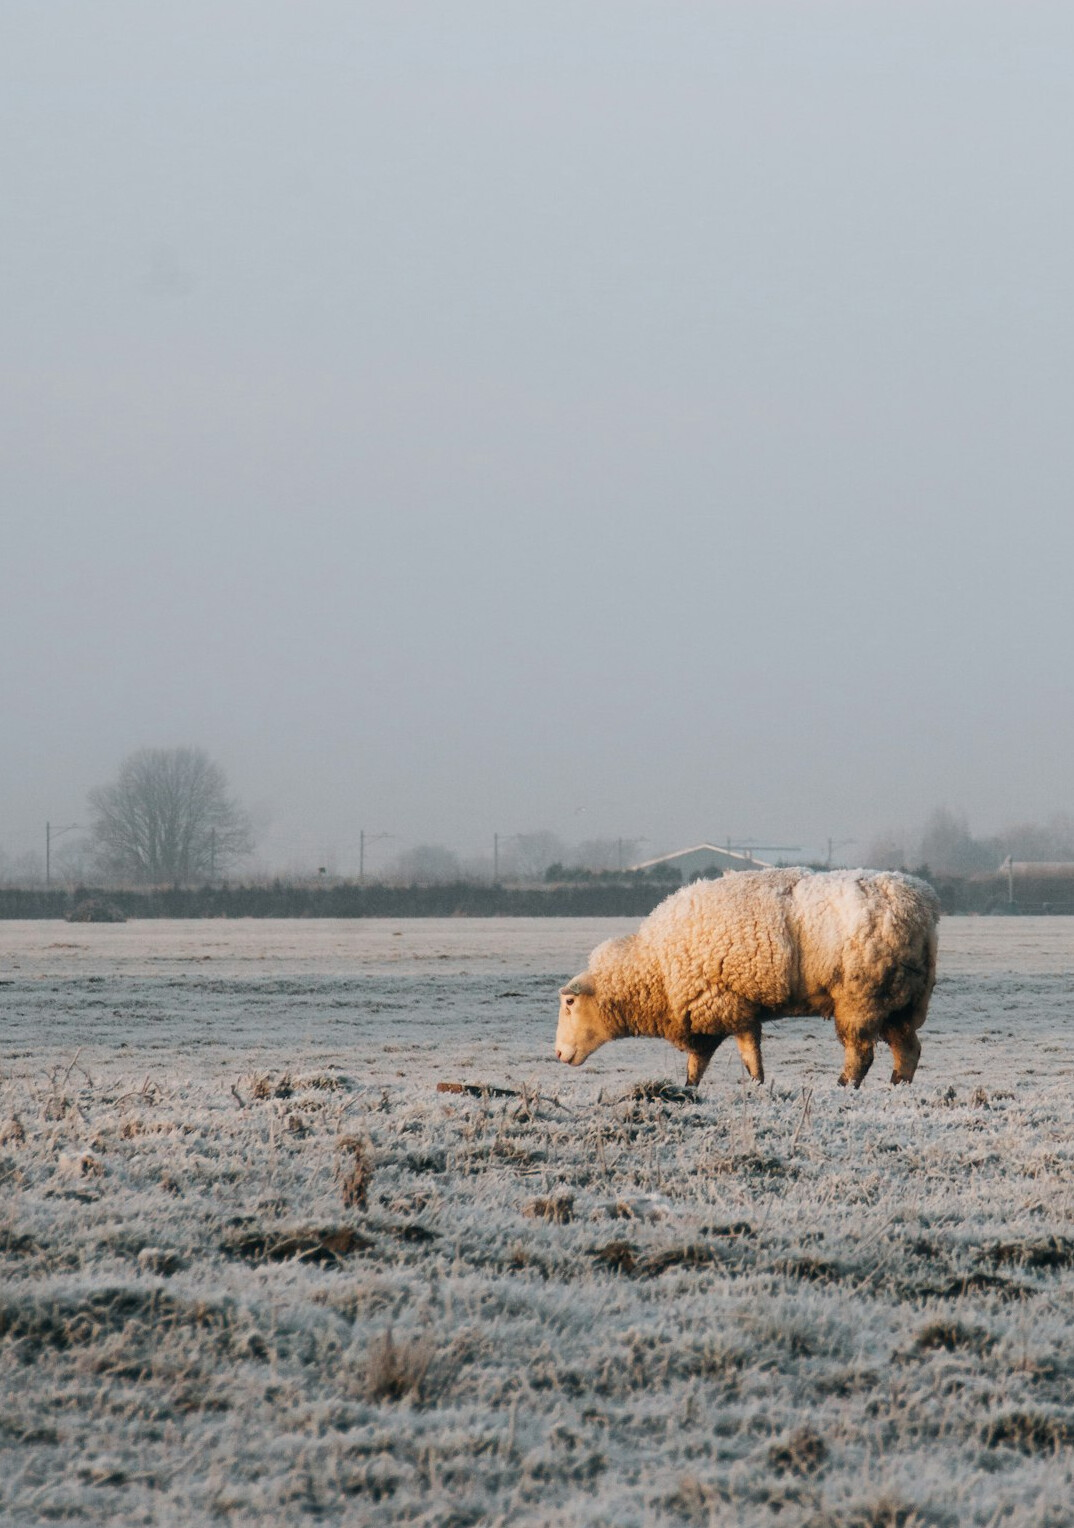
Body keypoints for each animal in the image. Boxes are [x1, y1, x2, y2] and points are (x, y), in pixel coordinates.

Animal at [555, 868, 940, 1089]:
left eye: (570, 1002)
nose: (558, 1053)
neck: (657, 967)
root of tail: (922, 902)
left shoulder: (724, 1004)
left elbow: (744, 1055)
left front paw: (753, 1085)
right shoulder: (717, 1011)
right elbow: (703, 1062)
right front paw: (689, 1089)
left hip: (861, 997)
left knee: (861, 1053)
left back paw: (843, 1086)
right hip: (901, 1001)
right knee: (908, 1050)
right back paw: (898, 1087)